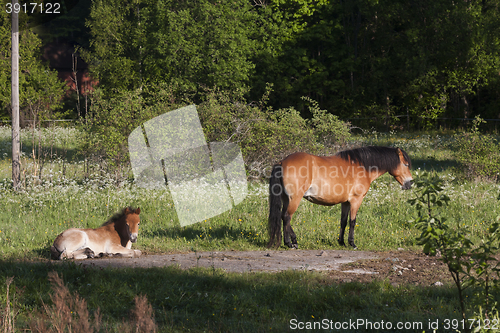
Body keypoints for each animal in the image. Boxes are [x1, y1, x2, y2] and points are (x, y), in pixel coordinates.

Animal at [268, 146, 412, 249]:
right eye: (405, 164)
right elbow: (352, 221)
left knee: (283, 217)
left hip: (286, 199)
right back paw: (289, 243)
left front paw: (341, 242)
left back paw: (294, 241)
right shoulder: (356, 200)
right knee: (287, 217)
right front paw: (352, 243)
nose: (410, 183)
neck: (362, 166)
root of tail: (282, 162)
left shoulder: (346, 202)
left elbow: (343, 221)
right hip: (294, 199)